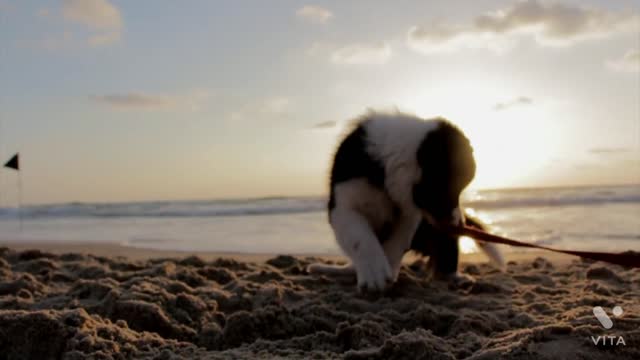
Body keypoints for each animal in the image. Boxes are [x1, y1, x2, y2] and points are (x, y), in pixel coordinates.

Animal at [308, 111, 502, 292]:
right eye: (451, 188)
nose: (459, 222)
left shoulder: (408, 217)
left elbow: (395, 245)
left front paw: (387, 273)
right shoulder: (343, 204)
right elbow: (360, 237)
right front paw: (374, 274)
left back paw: (456, 278)